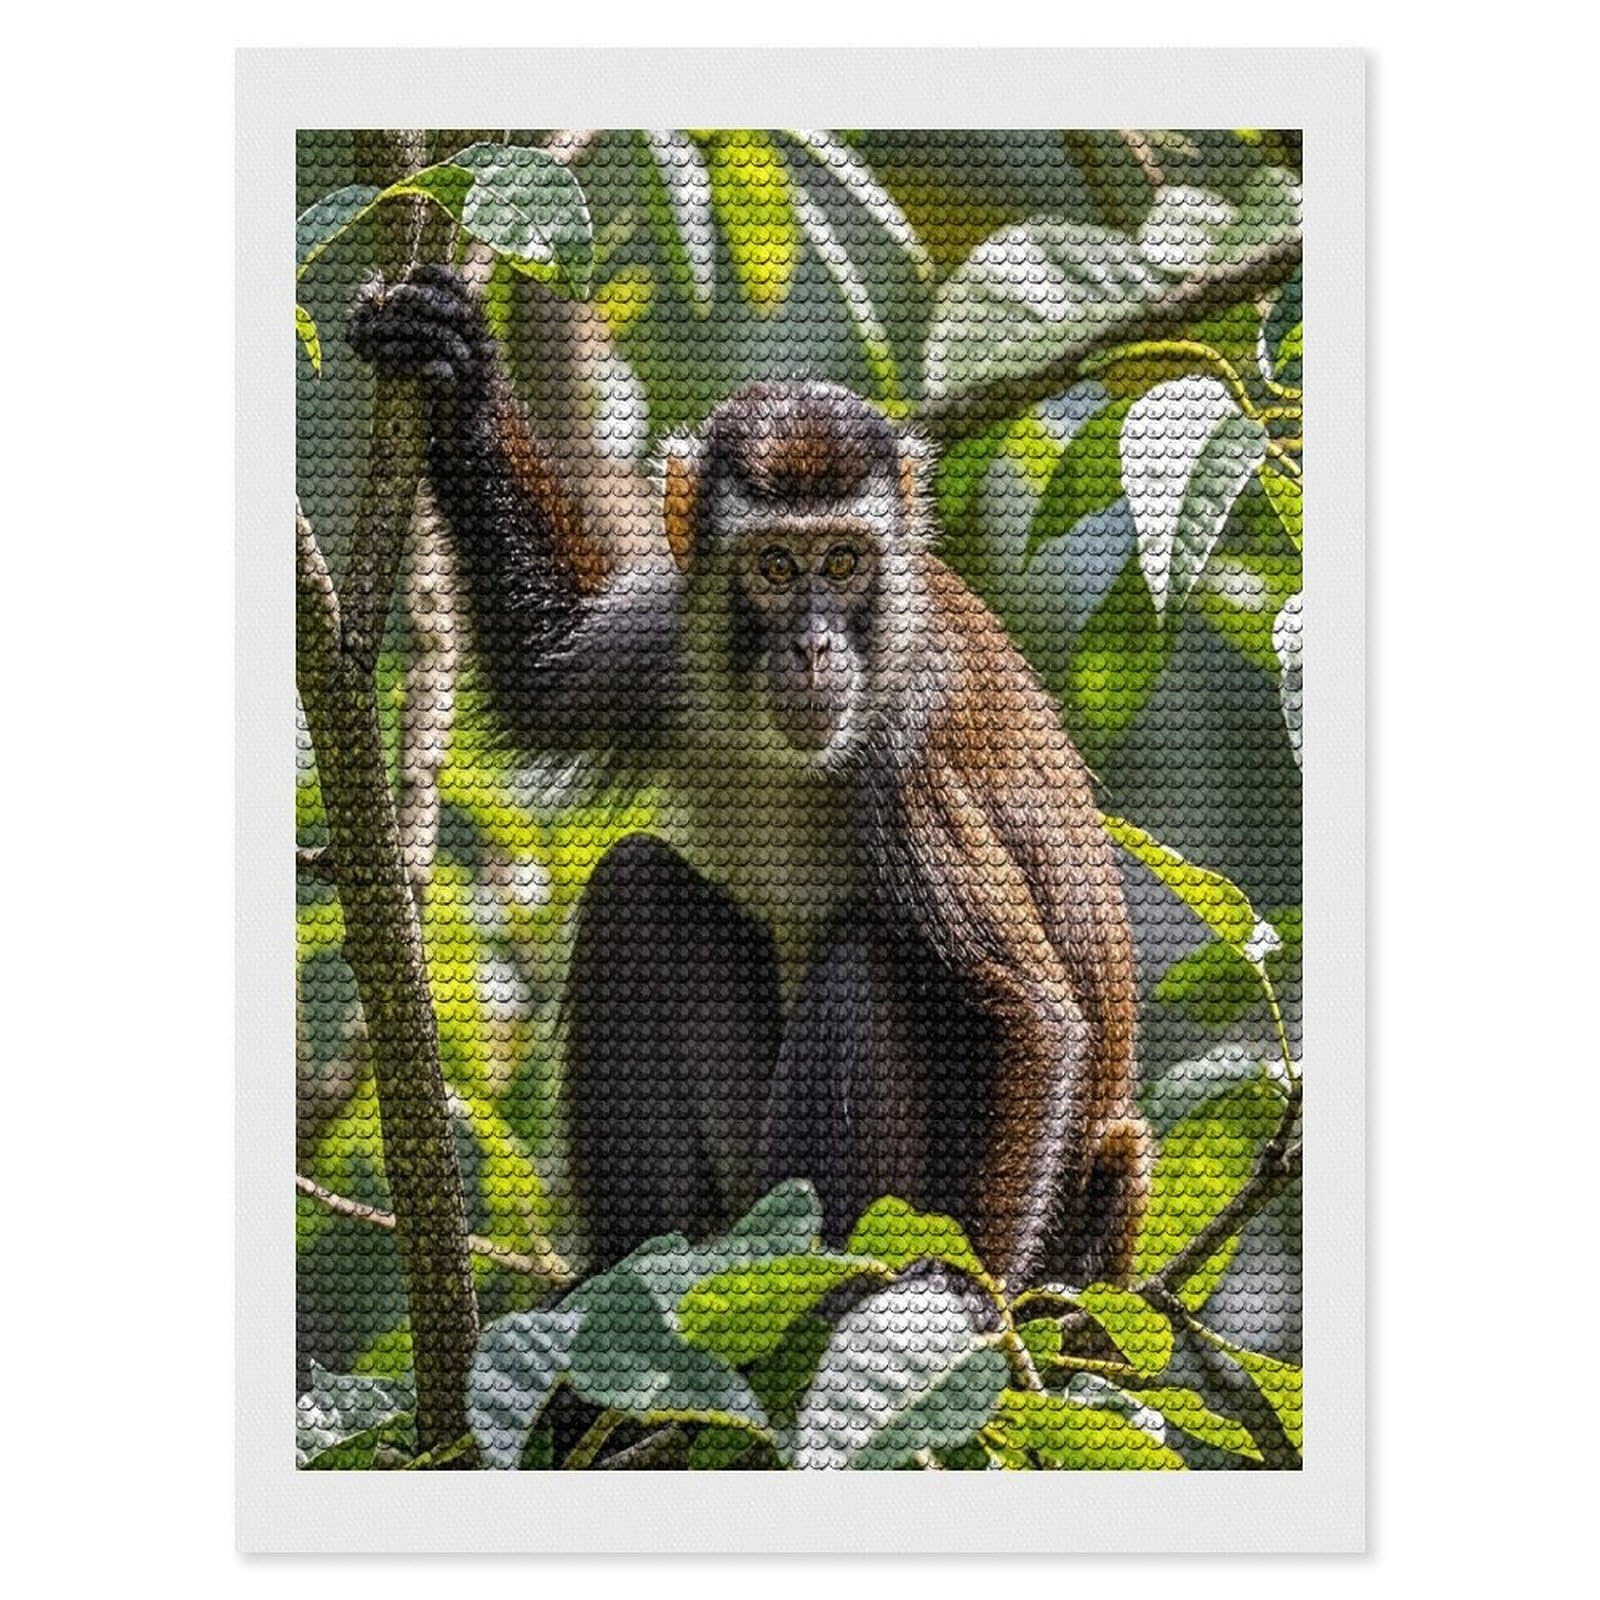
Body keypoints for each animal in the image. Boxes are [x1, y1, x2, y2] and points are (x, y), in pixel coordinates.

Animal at [349, 264, 1149, 1291]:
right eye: (773, 566)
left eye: (843, 561)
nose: (812, 648)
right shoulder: (676, 632)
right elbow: (545, 668)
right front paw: (457, 369)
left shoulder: (907, 739)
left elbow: (1034, 1018)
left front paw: (963, 1301)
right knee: (635, 890)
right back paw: (636, 1271)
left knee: (865, 960)